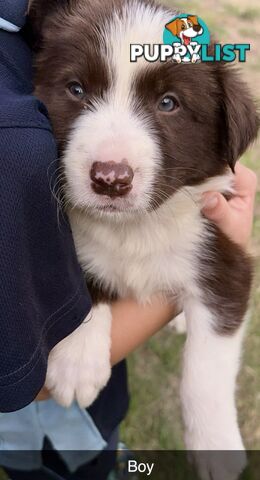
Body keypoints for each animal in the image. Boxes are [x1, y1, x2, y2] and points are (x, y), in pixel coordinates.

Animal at [30, 1, 258, 478]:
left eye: (168, 103)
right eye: (76, 89)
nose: (110, 179)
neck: (134, 229)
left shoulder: (223, 260)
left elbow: (205, 369)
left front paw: (216, 447)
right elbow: (77, 279)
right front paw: (77, 361)